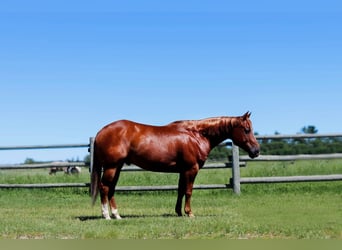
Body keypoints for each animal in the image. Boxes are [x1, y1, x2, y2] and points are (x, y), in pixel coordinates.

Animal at [91, 112, 260, 220]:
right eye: (247, 130)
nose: (256, 151)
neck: (195, 135)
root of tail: (101, 132)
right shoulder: (191, 169)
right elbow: (189, 191)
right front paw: (189, 213)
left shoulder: (182, 171)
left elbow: (180, 191)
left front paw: (179, 212)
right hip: (112, 167)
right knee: (104, 188)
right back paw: (106, 215)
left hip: (117, 167)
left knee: (111, 189)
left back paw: (117, 215)